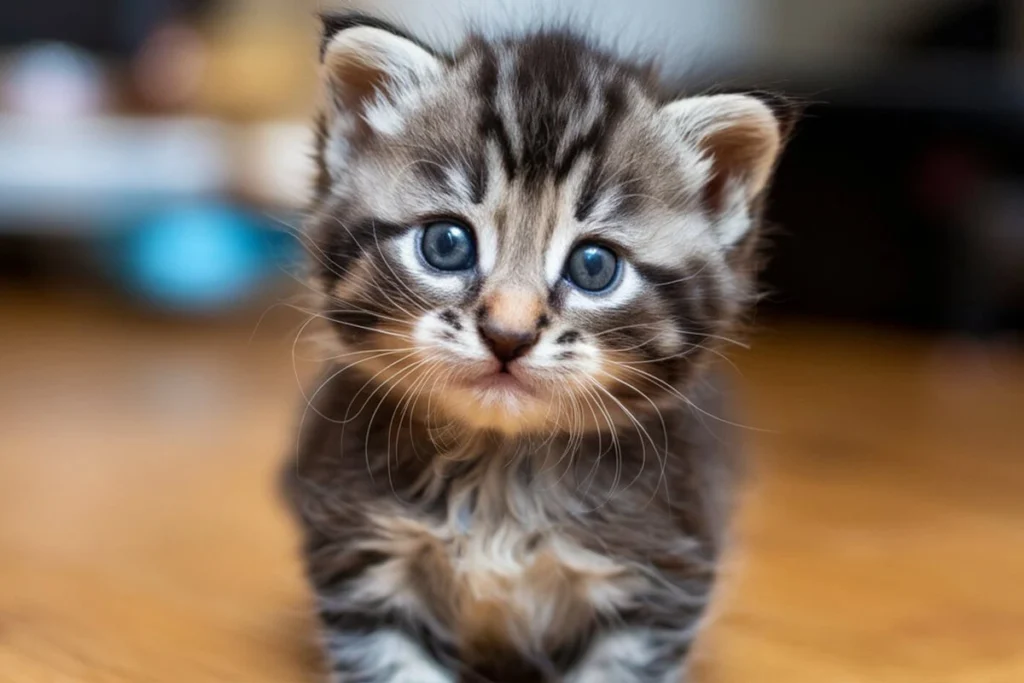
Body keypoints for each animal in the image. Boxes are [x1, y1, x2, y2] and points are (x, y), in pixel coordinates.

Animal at [284, 12, 786, 683]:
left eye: (594, 266)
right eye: (446, 244)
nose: (509, 334)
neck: (501, 473)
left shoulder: (660, 578)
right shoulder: (357, 558)